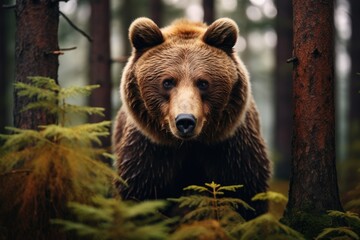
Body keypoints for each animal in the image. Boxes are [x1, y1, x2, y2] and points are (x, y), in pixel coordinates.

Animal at [112, 16, 270, 219]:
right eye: (168, 82)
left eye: (203, 83)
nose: (185, 121)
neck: (189, 145)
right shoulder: (150, 150)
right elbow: (139, 192)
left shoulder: (230, 148)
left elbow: (247, 193)